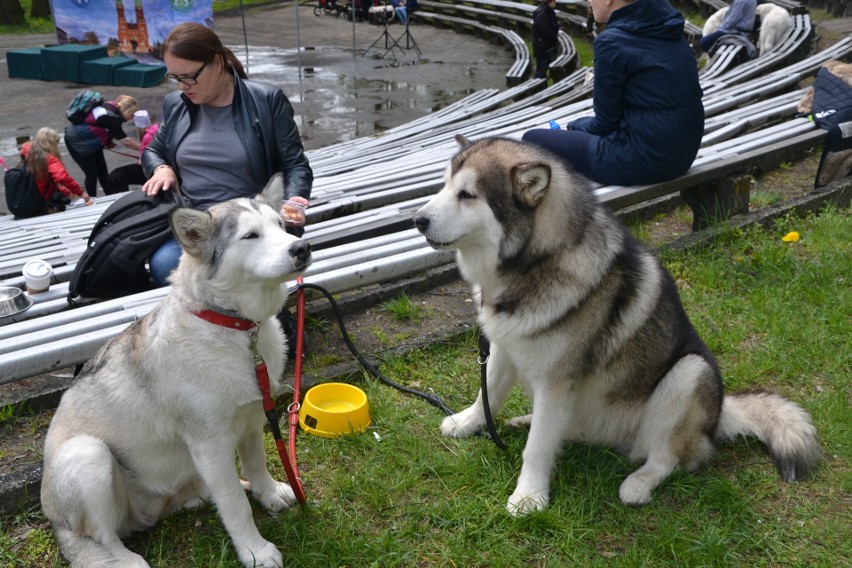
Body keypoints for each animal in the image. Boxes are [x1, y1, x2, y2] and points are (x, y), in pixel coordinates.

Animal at [40, 175, 312, 564]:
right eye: (250, 236)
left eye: (280, 226)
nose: (302, 248)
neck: (236, 329)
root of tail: (57, 523)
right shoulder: (209, 445)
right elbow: (235, 507)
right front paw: (255, 551)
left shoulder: (252, 418)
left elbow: (256, 465)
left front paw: (268, 493)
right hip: (87, 456)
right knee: (102, 539)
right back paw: (127, 561)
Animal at [412, 136, 820, 516]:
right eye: (444, 186)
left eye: (468, 195)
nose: (418, 220)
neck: (535, 264)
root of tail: (719, 414)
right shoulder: (503, 348)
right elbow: (489, 395)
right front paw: (467, 423)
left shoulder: (556, 380)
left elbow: (538, 448)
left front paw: (529, 496)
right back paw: (528, 420)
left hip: (689, 373)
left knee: (668, 457)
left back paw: (638, 484)